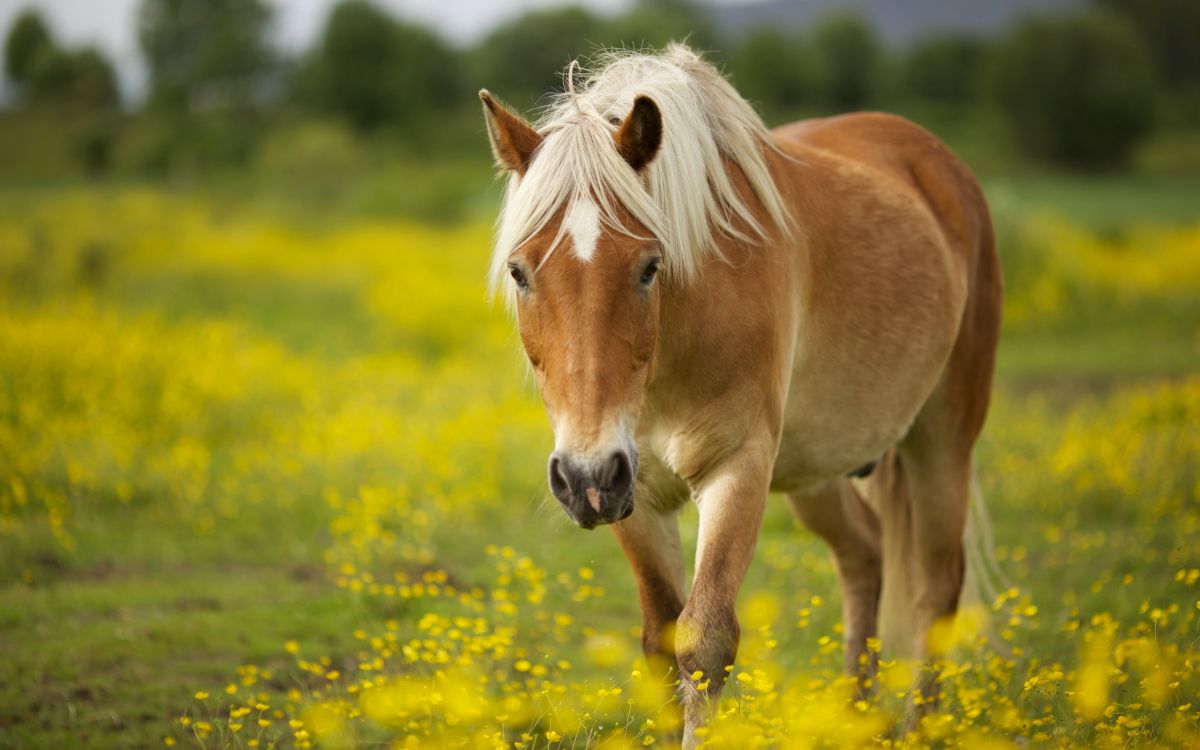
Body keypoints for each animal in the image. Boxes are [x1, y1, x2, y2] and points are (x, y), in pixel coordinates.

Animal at [479, 44, 1001, 746]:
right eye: (519, 271)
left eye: (649, 267)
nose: (586, 477)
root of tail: (940, 165)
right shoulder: (635, 493)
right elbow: (660, 639)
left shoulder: (737, 468)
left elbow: (704, 641)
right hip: (817, 468)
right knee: (864, 554)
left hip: (942, 437)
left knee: (936, 590)